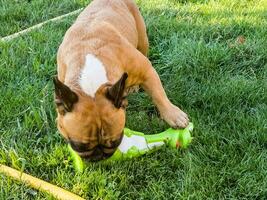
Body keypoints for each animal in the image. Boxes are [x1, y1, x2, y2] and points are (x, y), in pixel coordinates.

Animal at [53, 0, 189, 160]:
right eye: (78, 146)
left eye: (117, 140)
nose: (100, 157)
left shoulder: (147, 71)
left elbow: (159, 94)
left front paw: (174, 115)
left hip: (142, 39)